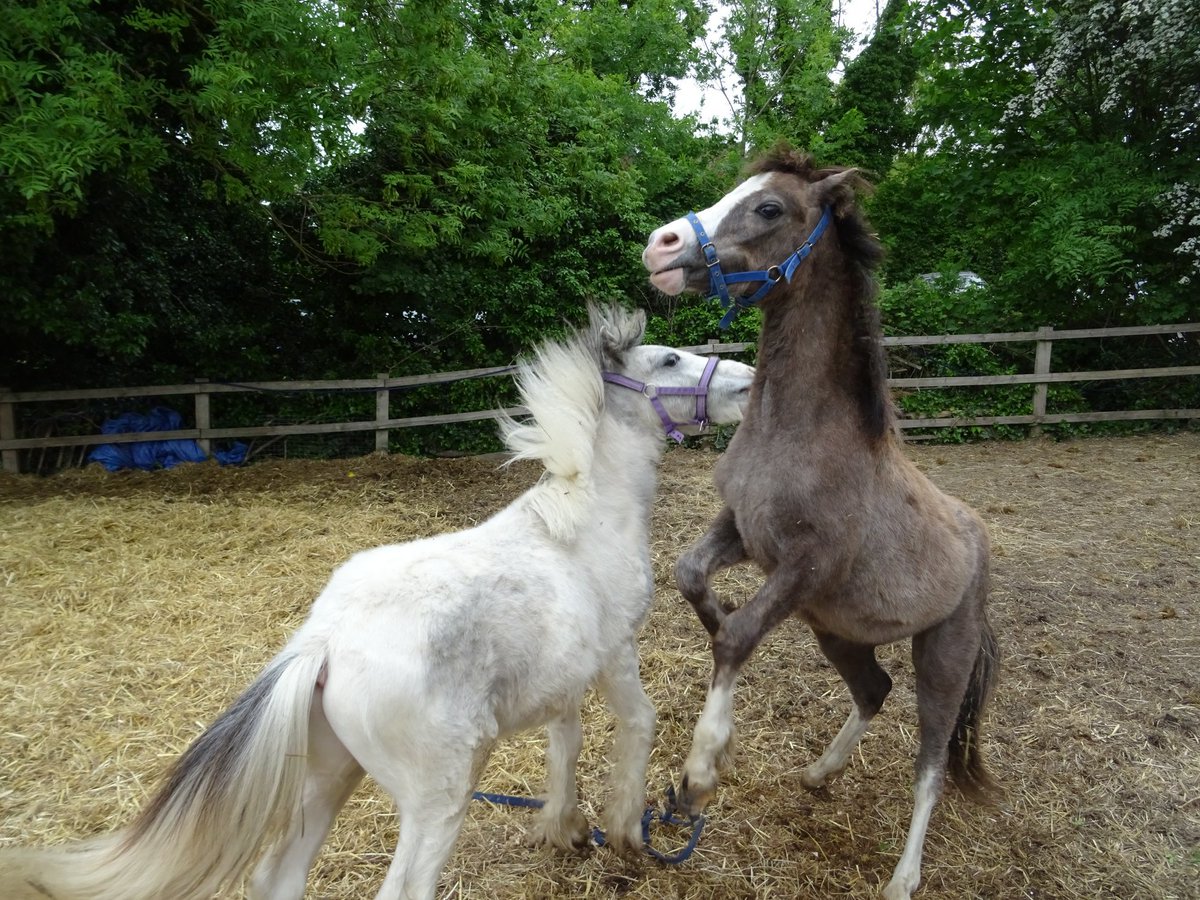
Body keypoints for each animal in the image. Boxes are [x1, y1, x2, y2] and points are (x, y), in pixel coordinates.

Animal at [0, 307, 748, 900]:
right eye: (671, 359)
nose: (745, 383)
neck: (586, 521)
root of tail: (324, 640)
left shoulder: (563, 678)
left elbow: (565, 743)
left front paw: (565, 829)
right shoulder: (617, 651)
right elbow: (638, 725)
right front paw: (627, 830)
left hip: (328, 776)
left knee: (277, 876)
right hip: (434, 800)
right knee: (403, 889)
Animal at [643, 150, 998, 900]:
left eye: (770, 207)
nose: (661, 246)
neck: (798, 432)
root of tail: (976, 537)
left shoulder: (807, 565)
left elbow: (740, 635)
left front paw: (700, 772)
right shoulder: (744, 530)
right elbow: (691, 577)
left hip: (944, 654)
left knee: (930, 766)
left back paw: (902, 878)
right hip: (837, 631)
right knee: (874, 691)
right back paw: (819, 773)